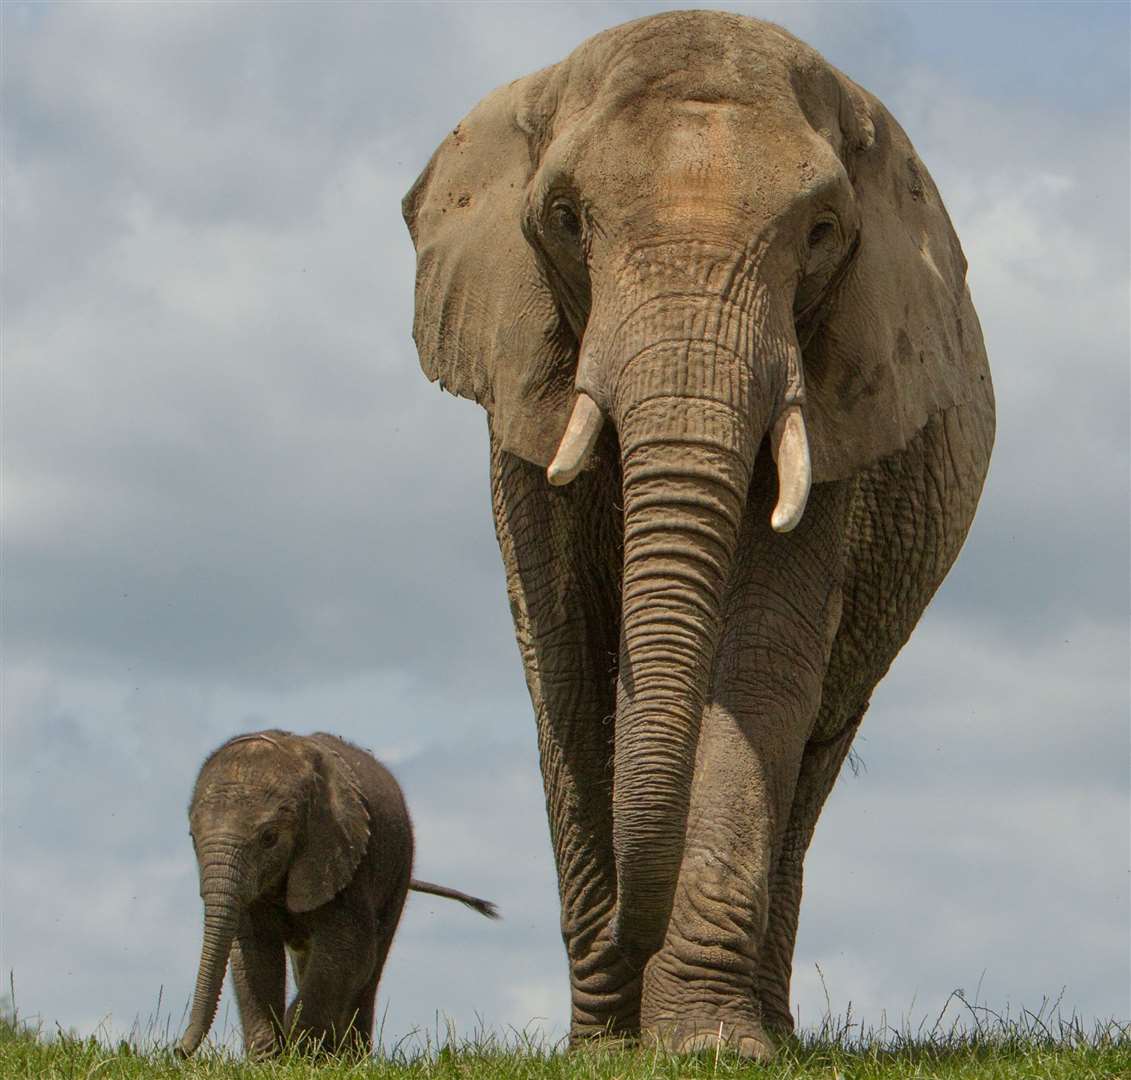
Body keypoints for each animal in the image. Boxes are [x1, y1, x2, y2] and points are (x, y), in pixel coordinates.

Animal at [176, 732, 495, 1058]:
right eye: (192, 837)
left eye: (269, 838)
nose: (179, 1050)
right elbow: (254, 952)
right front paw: (270, 1059)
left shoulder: (346, 857)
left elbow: (346, 948)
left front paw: (302, 1052)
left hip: (399, 869)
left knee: (371, 966)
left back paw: (352, 1057)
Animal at [402, 8, 995, 1058]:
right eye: (566, 219)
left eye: (820, 232)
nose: (625, 945)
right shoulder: (518, 382)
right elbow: (565, 658)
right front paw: (603, 1047)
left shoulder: (836, 401)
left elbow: (759, 658)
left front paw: (709, 1045)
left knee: (814, 751)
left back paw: (773, 1032)